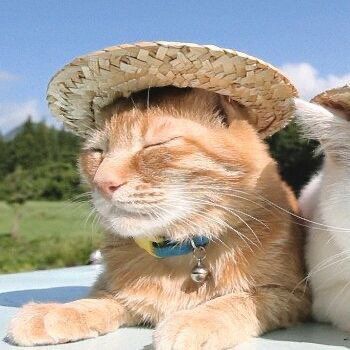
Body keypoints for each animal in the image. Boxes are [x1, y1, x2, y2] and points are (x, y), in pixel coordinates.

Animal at [8, 88, 308, 350]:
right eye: (98, 152)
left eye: (155, 145)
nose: (102, 182)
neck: (180, 251)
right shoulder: (116, 292)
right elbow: (97, 300)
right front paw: (55, 313)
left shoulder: (289, 294)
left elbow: (235, 300)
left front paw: (195, 319)